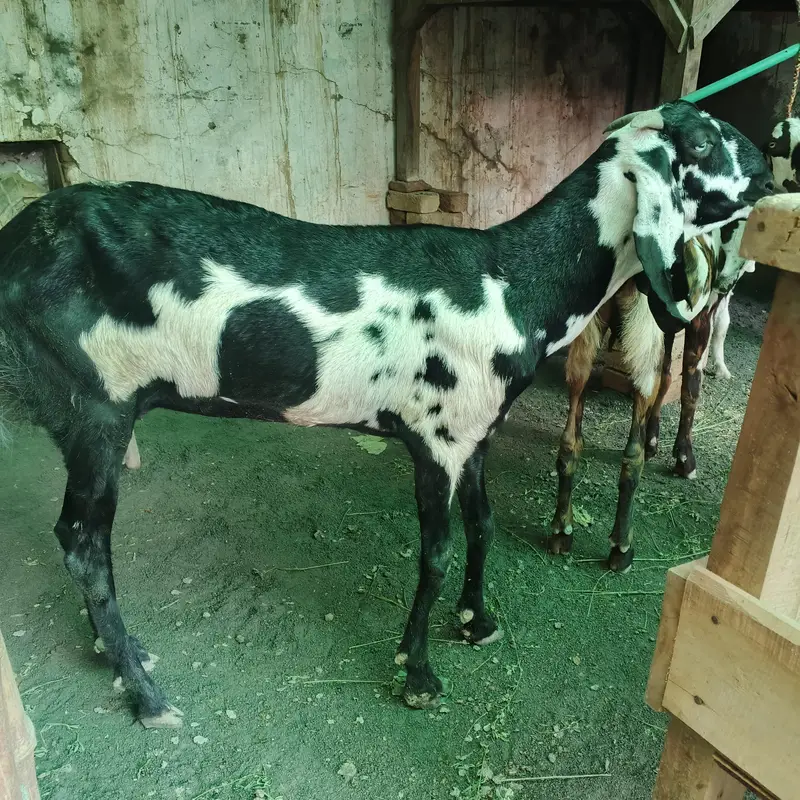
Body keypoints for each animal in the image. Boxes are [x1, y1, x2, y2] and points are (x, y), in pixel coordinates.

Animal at [550, 220, 755, 569]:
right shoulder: (702, 312)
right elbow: (690, 385)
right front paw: (684, 458)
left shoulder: (668, 325)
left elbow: (668, 376)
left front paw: (655, 440)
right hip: (641, 325)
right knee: (631, 455)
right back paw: (622, 547)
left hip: (590, 330)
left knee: (571, 436)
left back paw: (562, 530)